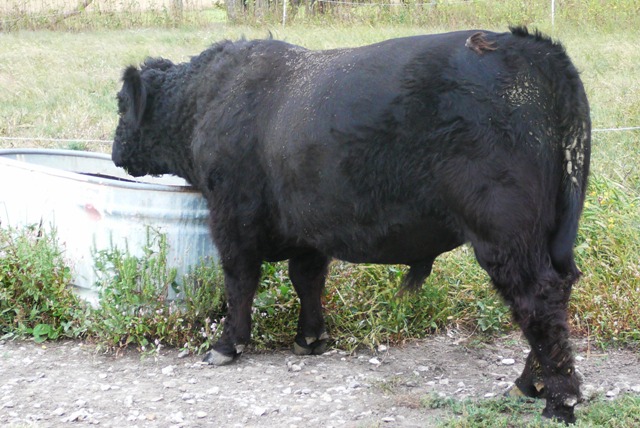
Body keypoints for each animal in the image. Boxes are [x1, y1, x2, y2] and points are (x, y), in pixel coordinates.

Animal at [112, 27, 591, 423]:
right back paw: (531, 383)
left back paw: (557, 400)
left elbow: (240, 281)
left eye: (120, 105)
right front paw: (310, 338)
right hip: (545, 234)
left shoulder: (232, 217)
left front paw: (228, 345)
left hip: (504, 231)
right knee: (556, 294)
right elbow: (307, 279)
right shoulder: (307, 226)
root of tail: (525, 45)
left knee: (537, 299)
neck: (207, 101)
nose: (116, 152)